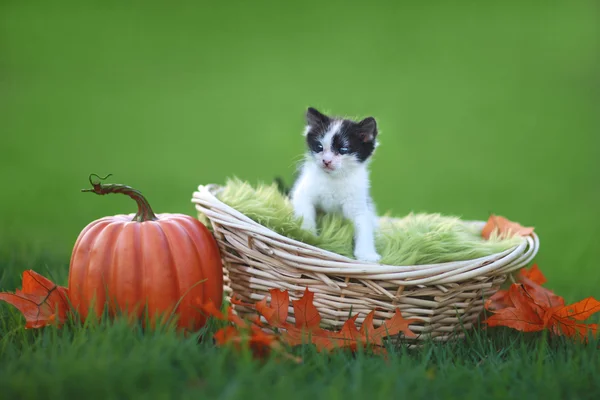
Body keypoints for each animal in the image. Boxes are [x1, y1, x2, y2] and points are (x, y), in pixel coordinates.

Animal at [290, 107, 382, 262]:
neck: (334, 179)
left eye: (343, 150)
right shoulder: (302, 192)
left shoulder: (358, 203)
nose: (326, 161)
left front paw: (367, 255)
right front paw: (308, 236)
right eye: (319, 147)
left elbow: (363, 223)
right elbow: (305, 213)